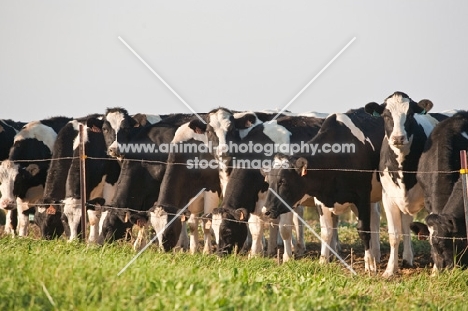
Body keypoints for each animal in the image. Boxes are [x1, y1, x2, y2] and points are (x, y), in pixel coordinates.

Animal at [262, 108, 386, 274]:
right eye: (268, 181)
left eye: (283, 181)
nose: (266, 211)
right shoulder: (321, 200)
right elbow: (326, 231)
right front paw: (323, 261)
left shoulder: (362, 196)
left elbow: (363, 230)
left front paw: (370, 264)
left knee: (375, 221)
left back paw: (376, 256)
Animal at [364, 91, 448, 278]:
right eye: (386, 116)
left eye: (410, 115)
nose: (398, 138)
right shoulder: (388, 198)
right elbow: (394, 235)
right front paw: (390, 270)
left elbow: (434, 232)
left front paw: (436, 269)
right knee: (406, 226)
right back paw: (407, 259)